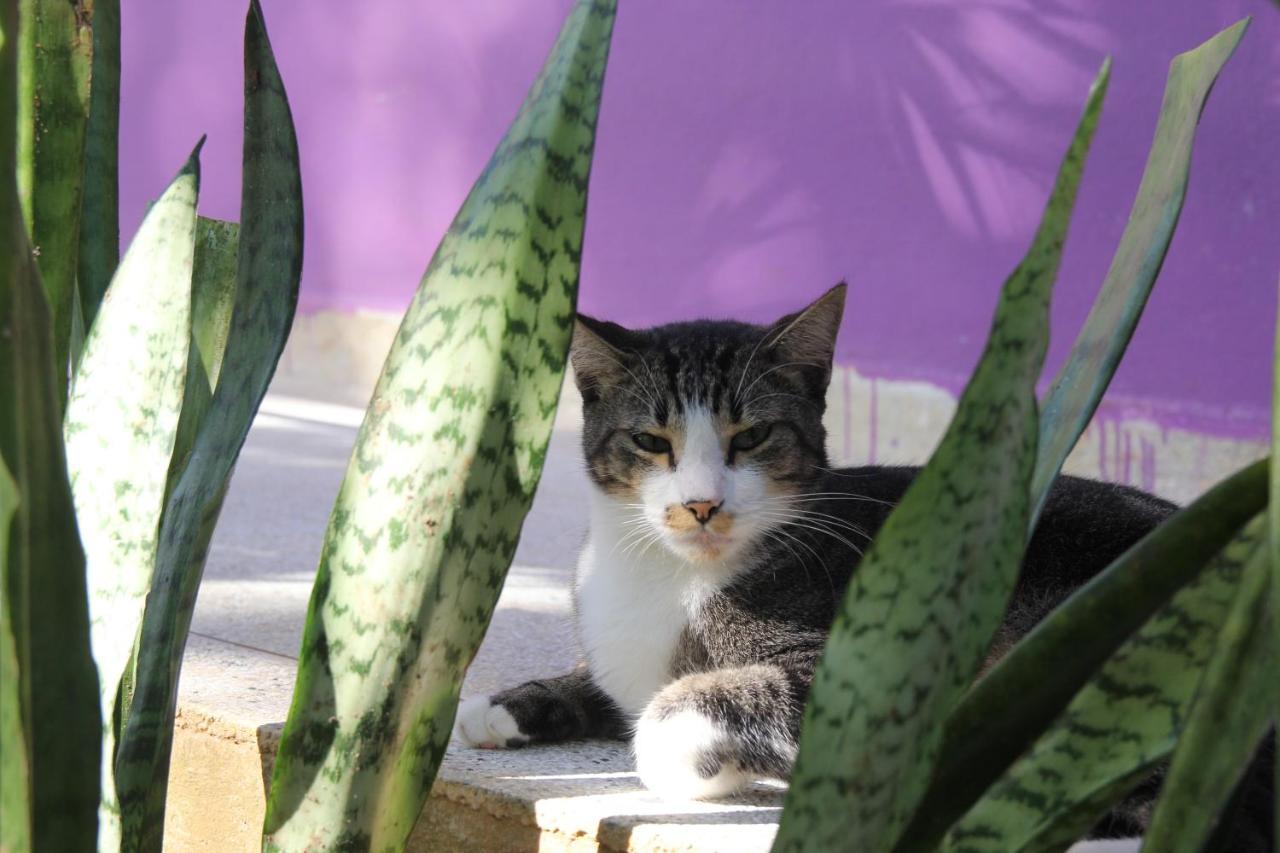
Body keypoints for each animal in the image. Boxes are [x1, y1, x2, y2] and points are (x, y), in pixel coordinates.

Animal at [455, 285, 1274, 845]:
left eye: (751, 437)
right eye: (652, 441)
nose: (700, 505)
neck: (668, 573)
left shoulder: (863, 669)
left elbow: (685, 706)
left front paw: (691, 762)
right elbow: (605, 677)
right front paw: (506, 704)